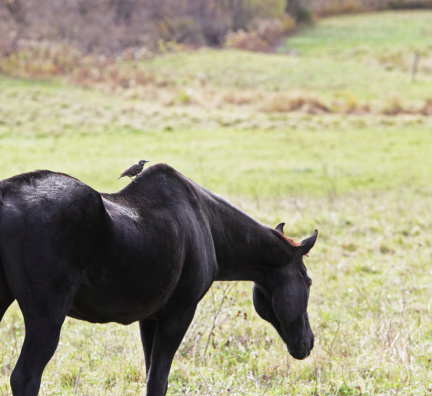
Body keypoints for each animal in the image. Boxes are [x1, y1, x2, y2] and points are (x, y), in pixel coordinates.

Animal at [0, 164, 318, 396]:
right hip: (47, 317)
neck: (209, 225)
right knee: (25, 378)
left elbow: (151, 375)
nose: (309, 341)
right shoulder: (178, 311)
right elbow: (158, 382)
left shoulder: (149, 318)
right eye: (308, 281)